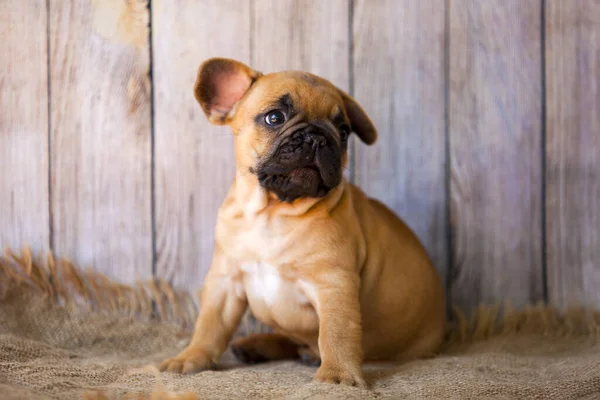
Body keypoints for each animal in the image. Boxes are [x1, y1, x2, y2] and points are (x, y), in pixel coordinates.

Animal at [159, 57, 446, 386]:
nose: (318, 137)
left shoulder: (334, 285)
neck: (273, 213)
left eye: (343, 132)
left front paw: (337, 377)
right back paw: (255, 346)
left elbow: (337, 334)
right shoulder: (225, 282)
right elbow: (209, 326)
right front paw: (190, 358)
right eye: (274, 118)